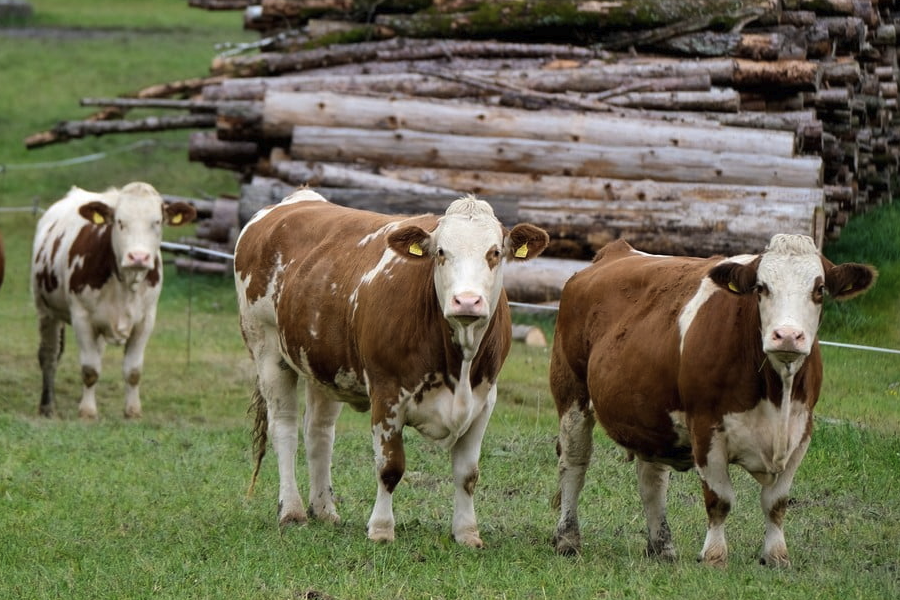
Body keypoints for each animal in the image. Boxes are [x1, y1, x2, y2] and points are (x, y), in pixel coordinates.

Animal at [31, 183, 197, 418]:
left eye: (157, 221)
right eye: (120, 221)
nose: (138, 257)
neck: (125, 283)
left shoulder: (146, 320)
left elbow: (133, 371)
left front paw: (133, 411)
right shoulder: (81, 317)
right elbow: (90, 369)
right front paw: (87, 412)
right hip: (46, 310)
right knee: (49, 355)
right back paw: (47, 406)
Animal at [232, 190, 548, 548]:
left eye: (494, 252)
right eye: (441, 252)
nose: (466, 301)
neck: (460, 365)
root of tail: (298, 197)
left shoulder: (484, 400)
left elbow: (467, 474)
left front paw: (467, 533)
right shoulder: (386, 394)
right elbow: (390, 467)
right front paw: (381, 529)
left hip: (323, 364)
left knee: (319, 432)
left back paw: (324, 509)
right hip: (267, 350)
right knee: (284, 429)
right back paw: (292, 511)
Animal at [552, 236, 876, 568]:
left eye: (819, 289)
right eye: (761, 287)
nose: (787, 335)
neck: (776, 395)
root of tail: (615, 251)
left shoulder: (801, 432)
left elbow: (776, 502)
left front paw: (776, 555)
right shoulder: (706, 428)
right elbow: (720, 499)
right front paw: (714, 556)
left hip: (651, 414)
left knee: (652, 480)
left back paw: (661, 546)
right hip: (571, 391)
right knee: (574, 463)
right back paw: (567, 539)